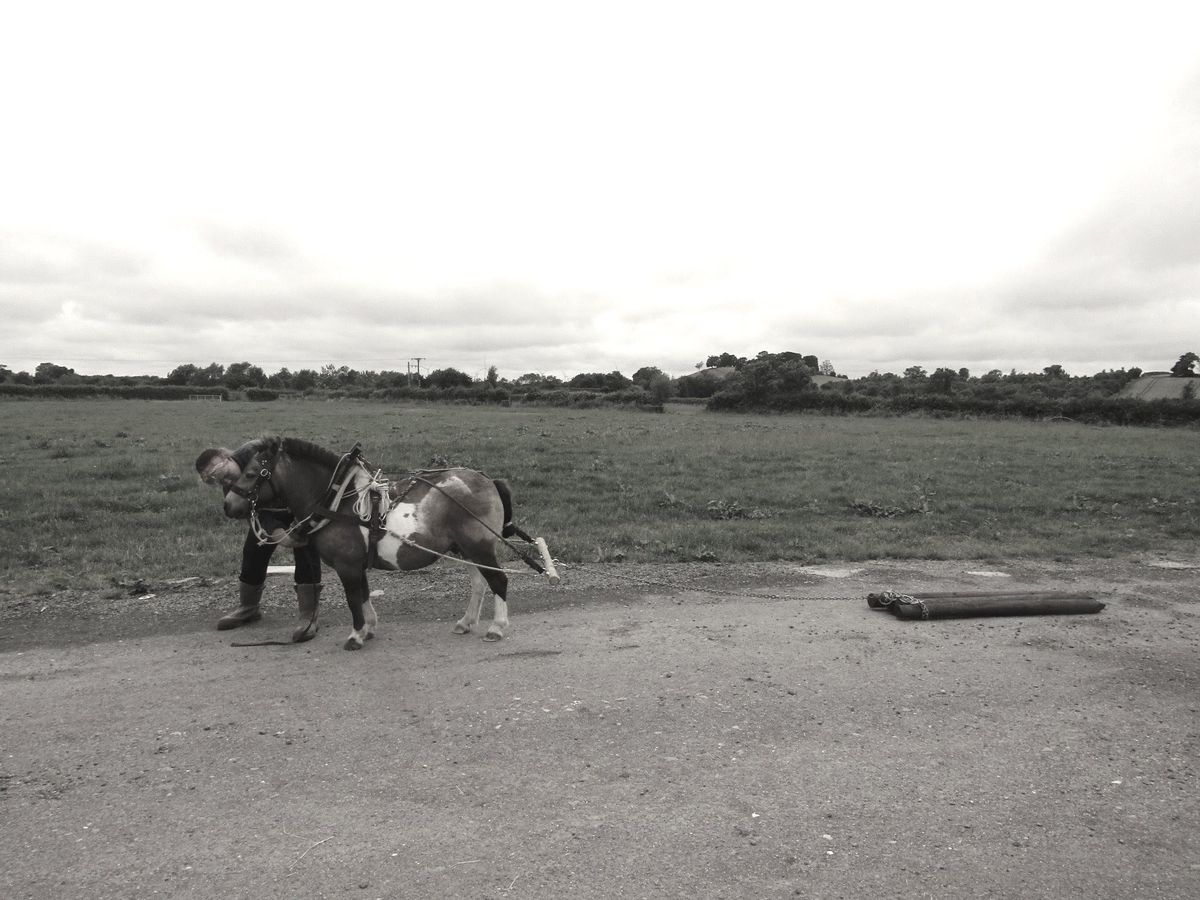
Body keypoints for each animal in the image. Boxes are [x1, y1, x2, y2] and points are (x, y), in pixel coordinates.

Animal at [201, 434, 520, 648]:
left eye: (252, 473)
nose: (229, 506)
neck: (338, 500)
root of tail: (488, 481)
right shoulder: (356, 564)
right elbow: (364, 593)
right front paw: (368, 628)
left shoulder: (347, 565)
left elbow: (353, 597)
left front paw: (356, 635)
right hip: (465, 549)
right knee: (479, 583)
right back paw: (466, 623)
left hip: (479, 547)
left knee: (498, 581)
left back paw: (497, 627)